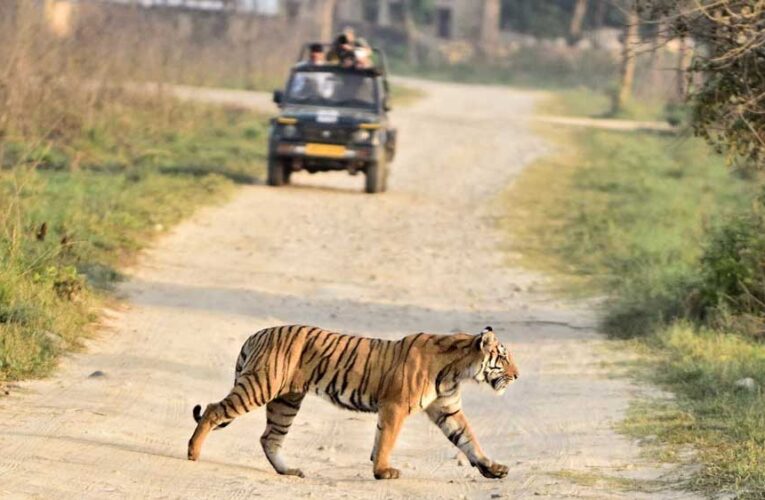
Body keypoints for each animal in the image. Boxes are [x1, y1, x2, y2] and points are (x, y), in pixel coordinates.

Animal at [187, 324, 516, 480]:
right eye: (503, 358)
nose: (517, 375)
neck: (458, 370)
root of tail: (257, 333)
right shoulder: (395, 406)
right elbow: (386, 440)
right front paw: (383, 472)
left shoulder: (447, 409)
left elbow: (468, 439)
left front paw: (493, 468)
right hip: (260, 386)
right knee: (214, 410)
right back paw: (193, 453)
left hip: (286, 401)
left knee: (270, 437)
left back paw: (289, 471)